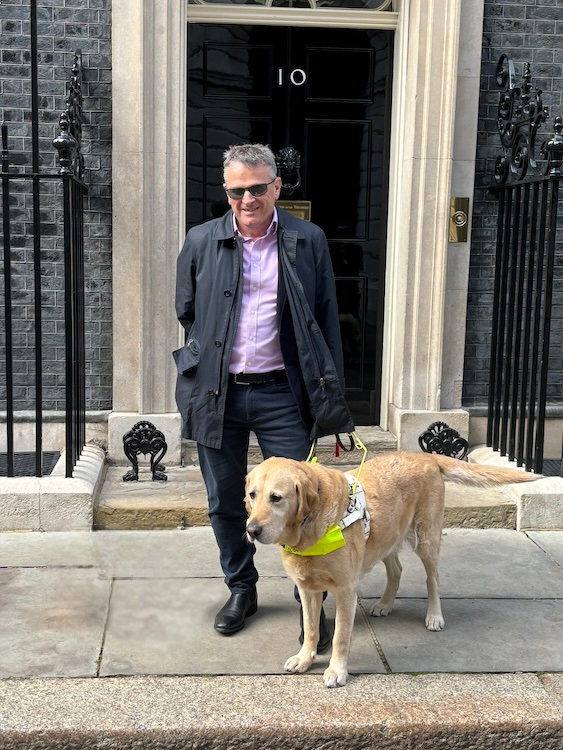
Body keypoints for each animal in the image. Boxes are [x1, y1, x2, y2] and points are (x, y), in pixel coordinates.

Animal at [246, 450, 540, 692]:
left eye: (276, 498)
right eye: (252, 494)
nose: (251, 530)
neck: (310, 527)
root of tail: (425, 456)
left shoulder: (346, 590)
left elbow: (341, 636)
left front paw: (337, 671)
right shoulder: (307, 589)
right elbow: (311, 628)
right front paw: (305, 658)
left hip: (426, 539)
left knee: (432, 579)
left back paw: (434, 616)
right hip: (386, 538)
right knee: (396, 570)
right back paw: (385, 604)